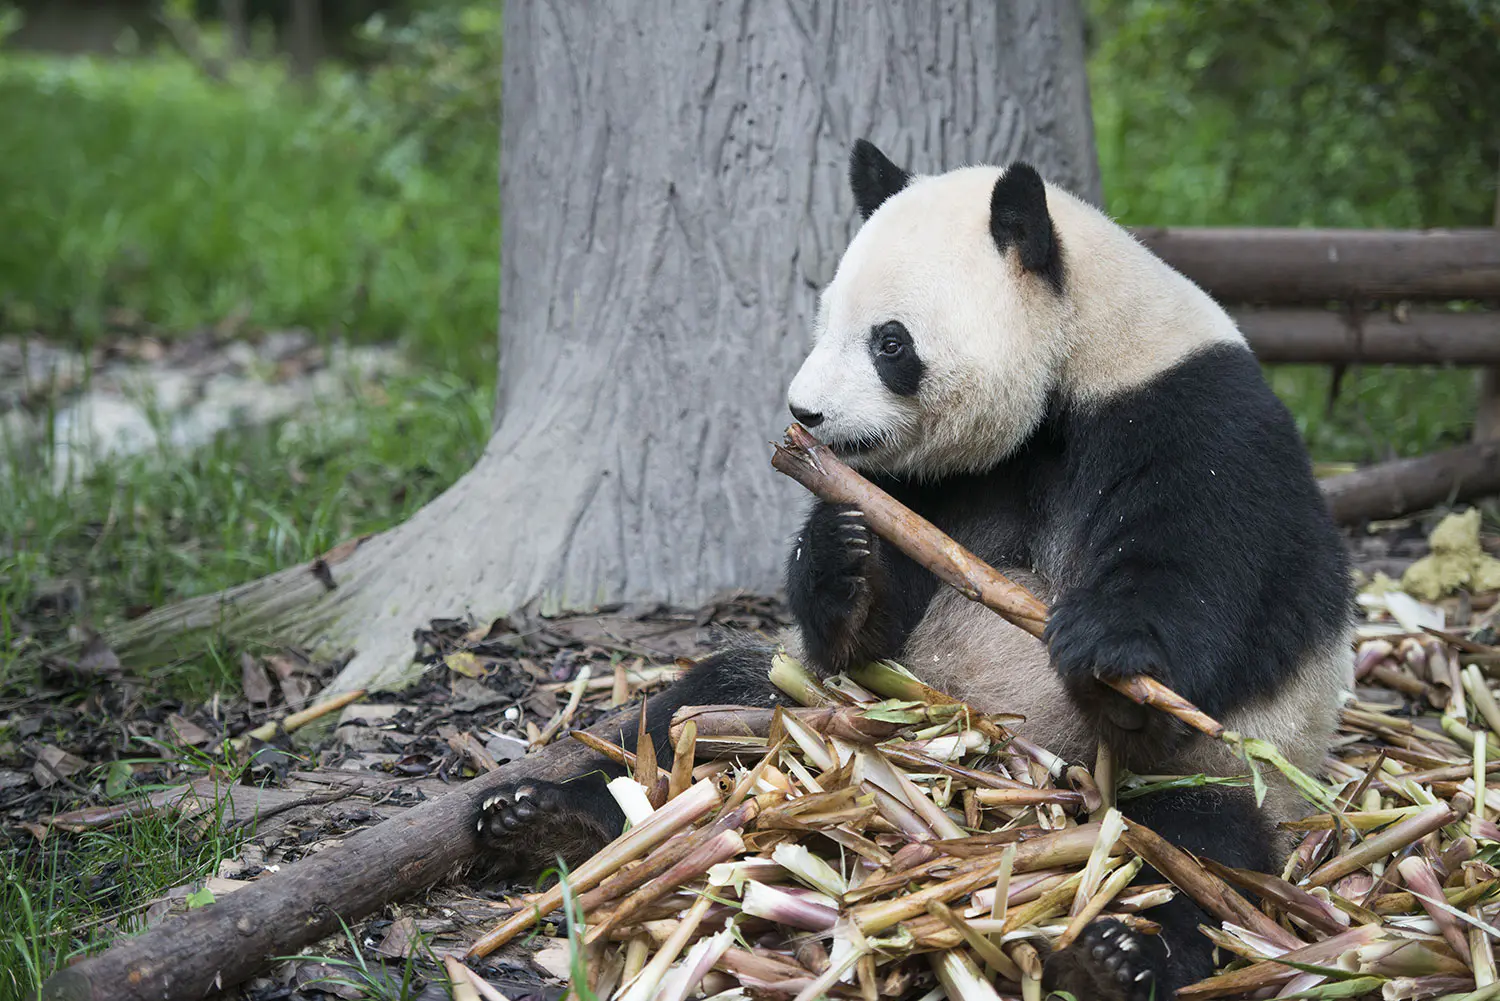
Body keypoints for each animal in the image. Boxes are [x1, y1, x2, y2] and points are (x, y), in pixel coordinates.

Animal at [476, 140, 1354, 1000]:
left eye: (889, 341)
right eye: (826, 319)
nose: (805, 412)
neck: (1077, 362)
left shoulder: (1191, 416)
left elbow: (1212, 573)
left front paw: (1114, 661)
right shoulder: (932, 484)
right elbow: (880, 596)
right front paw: (841, 555)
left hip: (1225, 771)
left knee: (1195, 850)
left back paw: (1120, 955)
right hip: (832, 702)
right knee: (699, 711)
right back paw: (542, 815)